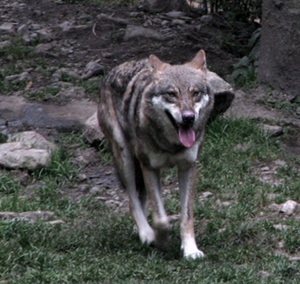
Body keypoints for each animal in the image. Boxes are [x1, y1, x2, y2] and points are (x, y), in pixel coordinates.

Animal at [98, 50, 213, 258]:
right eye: (171, 94)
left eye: (195, 93)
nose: (189, 118)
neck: (172, 145)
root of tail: (113, 71)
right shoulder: (150, 167)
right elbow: (161, 219)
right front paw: (161, 240)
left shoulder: (188, 167)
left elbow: (187, 217)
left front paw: (190, 250)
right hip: (126, 159)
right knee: (132, 202)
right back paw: (146, 234)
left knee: (141, 200)